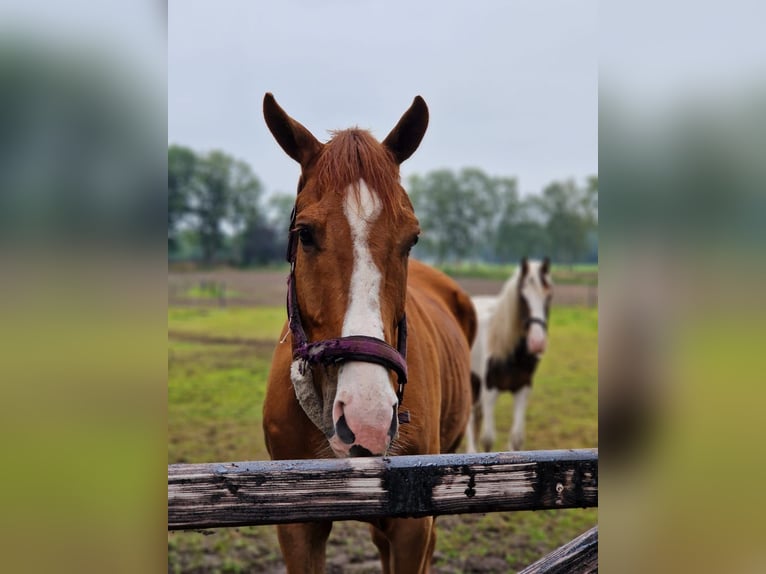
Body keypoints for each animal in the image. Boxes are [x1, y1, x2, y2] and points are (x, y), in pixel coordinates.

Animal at [462, 260, 552, 454]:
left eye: (549, 296)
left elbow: (517, 439)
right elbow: (488, 439)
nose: (537, 342)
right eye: (522, 297)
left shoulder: (522, 389)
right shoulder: (490, 390)